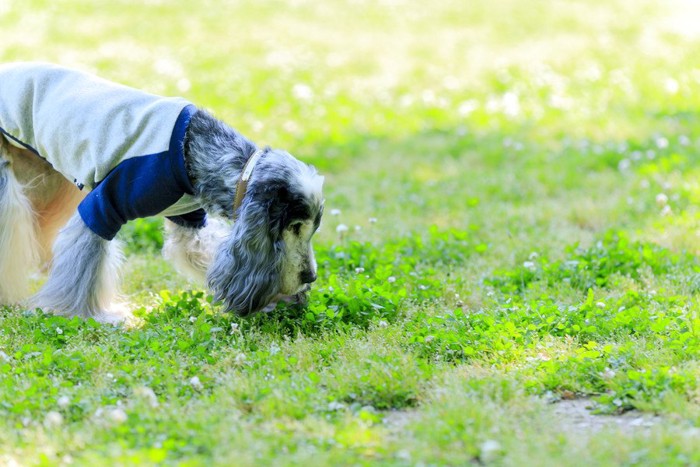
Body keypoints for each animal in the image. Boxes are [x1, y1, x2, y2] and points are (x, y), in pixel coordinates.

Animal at [0, 62, 322, 322]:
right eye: (294, 226)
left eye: (312, 230)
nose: (311, 276)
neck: (193, 150)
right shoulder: (103, 207)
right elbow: (83, 262)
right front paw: (82, 314)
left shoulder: (189, 219)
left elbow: (205, 248)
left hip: (49, 178)